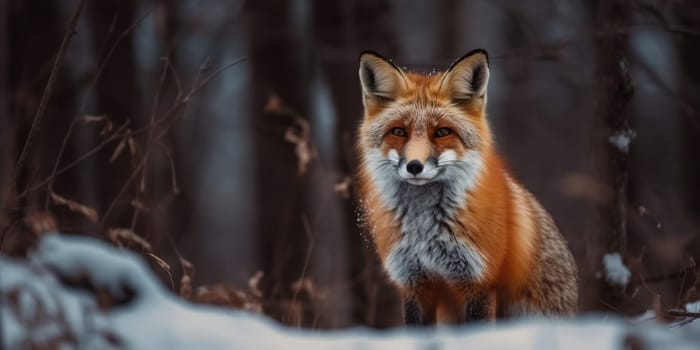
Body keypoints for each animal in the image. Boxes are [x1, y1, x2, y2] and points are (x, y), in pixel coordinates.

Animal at [358, 50, 576, 326]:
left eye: (442, 132)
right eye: (398, 131)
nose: (414, 166)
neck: (424, 230)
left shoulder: (479, 281)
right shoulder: (414, 282)